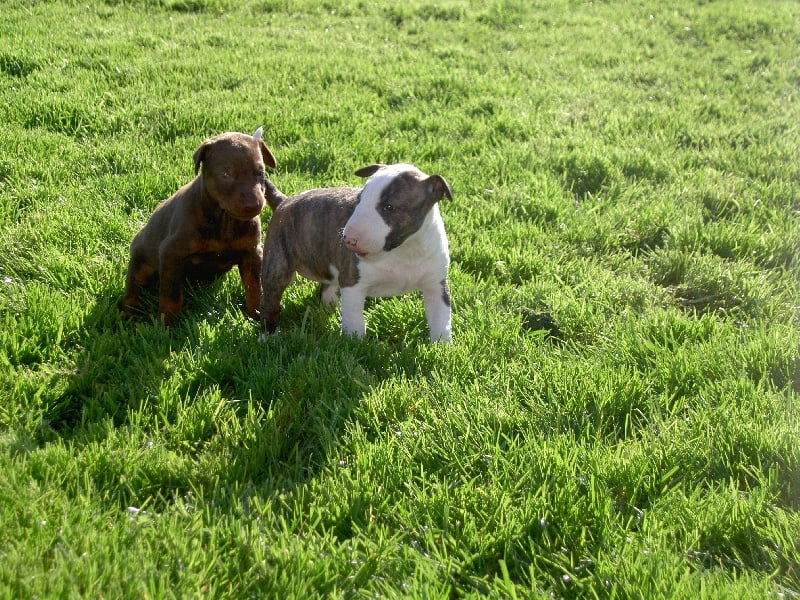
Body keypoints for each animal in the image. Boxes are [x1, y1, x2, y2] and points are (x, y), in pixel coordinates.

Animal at [120, 124, 276, 326]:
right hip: (141, 262)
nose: (253, 205)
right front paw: (166, 325)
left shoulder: (252, 253)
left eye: (260, 173)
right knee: (133, 289)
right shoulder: (171, 253)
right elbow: (170, 296)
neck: (224, 220)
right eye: (225, 174)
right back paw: (129, 316)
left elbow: (254, 287)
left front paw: (256, 315)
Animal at [260, 164, 454, 342]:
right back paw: (266, 338)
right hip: (277, 264)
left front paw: (441, 348)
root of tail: (285, 201)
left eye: (389, 207)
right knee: (270, 302)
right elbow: (354, 320)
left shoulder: (436, 285)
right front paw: (355, 344)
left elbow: (441, 320)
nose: (348, 240)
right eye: (359, 199)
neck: (405, 250)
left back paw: (329, 309)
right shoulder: (353, 283)